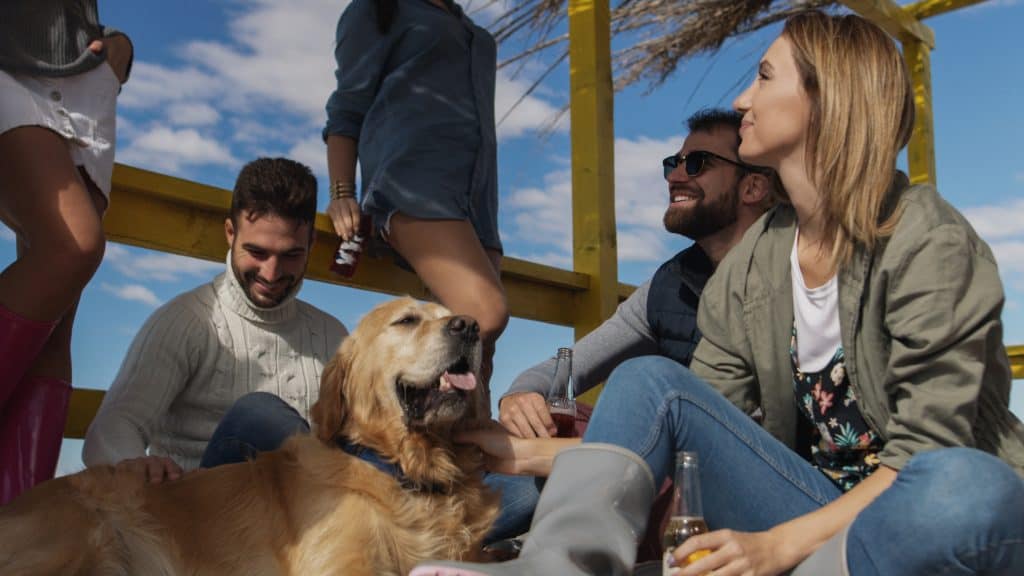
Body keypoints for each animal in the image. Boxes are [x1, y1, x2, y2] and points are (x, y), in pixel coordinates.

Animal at [0, 297, 495, 569]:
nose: (469, 325)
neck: (404, 469)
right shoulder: (338, 563)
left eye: (451, 315)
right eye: (407, 321)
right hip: (81, 537)